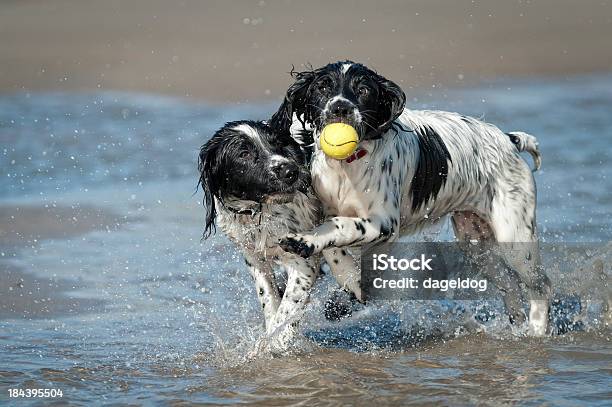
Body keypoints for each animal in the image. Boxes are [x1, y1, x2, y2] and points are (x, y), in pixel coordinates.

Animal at [197, 119, 358, 352]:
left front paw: (273, 344)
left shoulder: (302, 261)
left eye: (277, 144)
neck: (261, 212)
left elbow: (286, 310)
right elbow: (269, 299)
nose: (291, 171)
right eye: (244, 153)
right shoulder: (254, 257)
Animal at [272, 59, 548, 334]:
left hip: (514, 238)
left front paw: (304, 241)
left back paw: (536, 330)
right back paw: (517, 328)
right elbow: (335, 249)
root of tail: (509, 140)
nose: (340, 108)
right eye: (323, 87)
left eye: (363, 90)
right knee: (509, 284)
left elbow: (341, 226)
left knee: (541, 284)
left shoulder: (383, 223)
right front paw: (347, 280)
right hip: (475, 241)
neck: (348, 166)